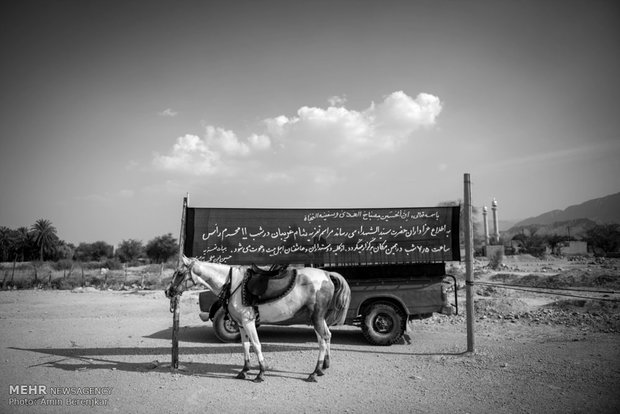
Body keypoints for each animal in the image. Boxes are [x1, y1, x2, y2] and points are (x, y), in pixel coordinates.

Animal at [162, 256, 352, 382]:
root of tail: (327, 274)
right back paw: (323, 368)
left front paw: (261, 373)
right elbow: (245, 345)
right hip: (318, 318)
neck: (232, 284)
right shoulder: (240, 324)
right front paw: (244, 371)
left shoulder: (248, 322)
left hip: (317, 317)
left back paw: (314, 372)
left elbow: (256, 344)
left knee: (323, 339)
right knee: (326, 336)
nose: (168, 291)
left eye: (180, 273)